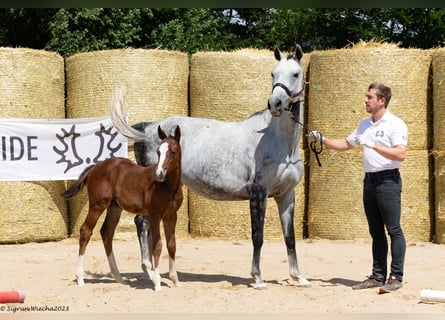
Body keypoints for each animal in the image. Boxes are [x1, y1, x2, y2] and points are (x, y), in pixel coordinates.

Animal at [110, 45, 308, 290]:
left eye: (295, 74)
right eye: (273, 74)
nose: (275, 104)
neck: (279, 141)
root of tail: (146, 128)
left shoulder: (285, 195)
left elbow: (289, 238)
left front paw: (298, 277)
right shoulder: (258, 193)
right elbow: (257, 236)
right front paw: (258, 278)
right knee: (142, 222)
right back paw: (149, 271)